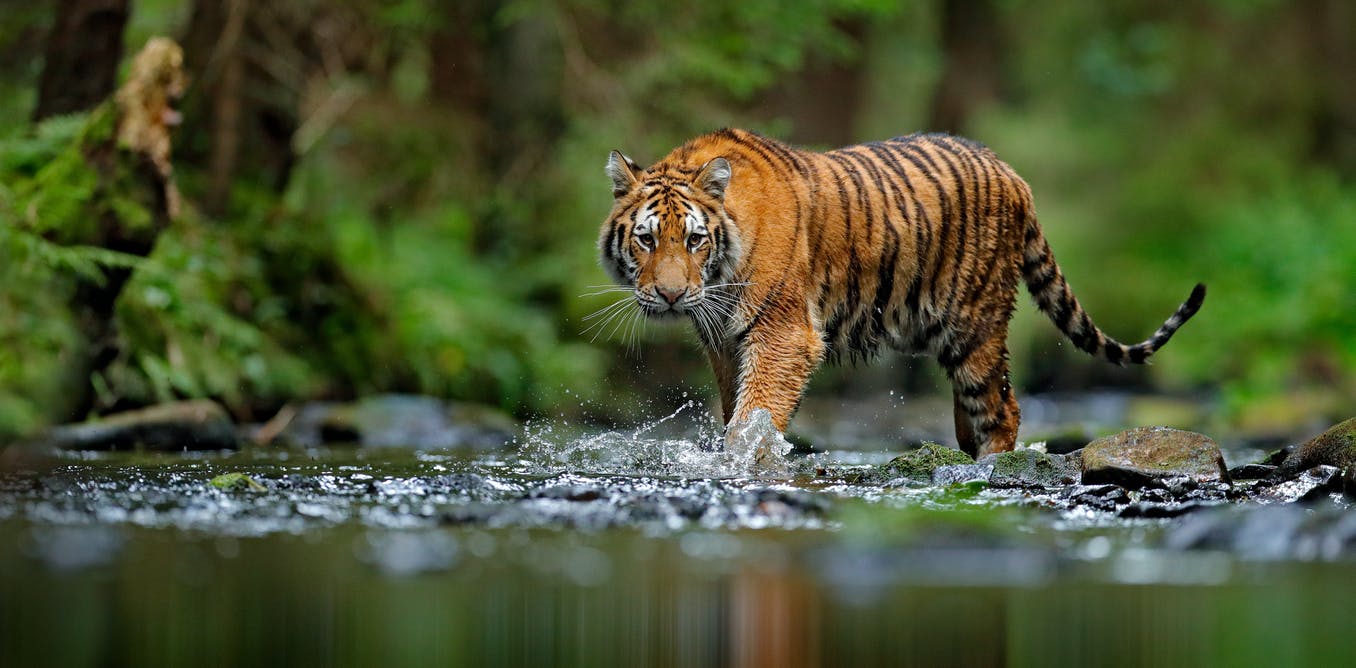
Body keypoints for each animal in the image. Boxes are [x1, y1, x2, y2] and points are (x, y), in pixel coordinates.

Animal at [599, 127, 1204, 455]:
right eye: (647, 240)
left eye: (695, 240)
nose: (671, 296)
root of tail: (1013, 174)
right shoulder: (725, 342)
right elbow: (736, 411)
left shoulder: (783, 334)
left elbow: (755, 416)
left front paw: (743, 462)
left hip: (976, 325)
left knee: (1003, 408)